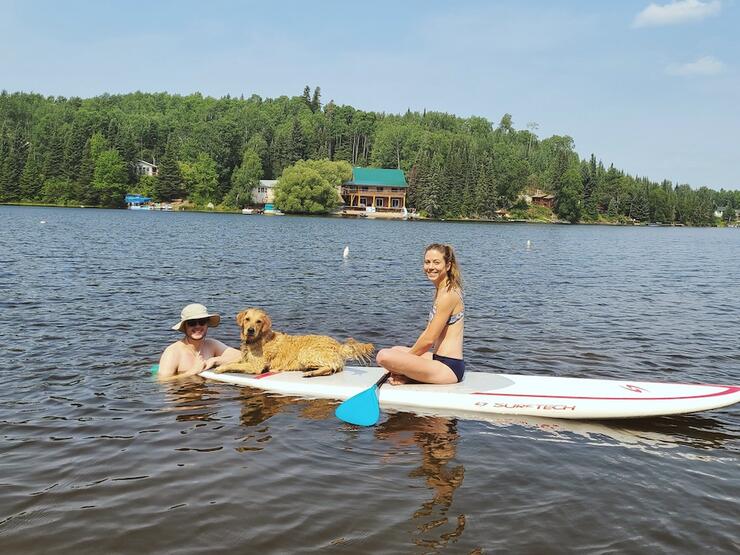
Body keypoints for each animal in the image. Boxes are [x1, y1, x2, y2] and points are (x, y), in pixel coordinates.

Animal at [214, 308, 376, 378]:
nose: (250, 330)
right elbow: (235, 361)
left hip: (305, 352)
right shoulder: (245, 359)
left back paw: (311, 372)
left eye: (258, 321)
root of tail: (338, 345)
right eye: (247, 319)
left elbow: (232, 365)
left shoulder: (256, 366)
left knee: (330, 367)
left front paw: (220, 368)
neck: (258, 339)